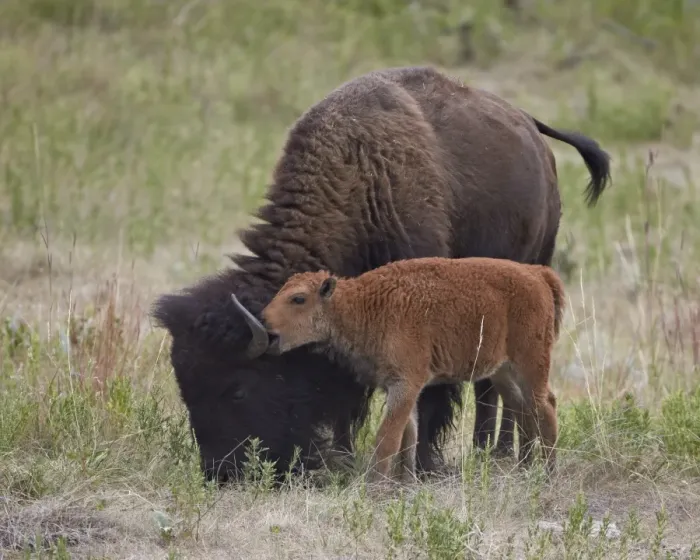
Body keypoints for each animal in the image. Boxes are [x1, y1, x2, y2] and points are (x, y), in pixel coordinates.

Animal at [151, 65, 610, 483]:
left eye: (239, 388)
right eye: (186, 389)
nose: (220, 472)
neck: (359, 175)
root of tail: (531, 127)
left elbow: (427, 397)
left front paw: (420, 465)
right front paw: (345, 457)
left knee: (494, 389)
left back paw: (495, 453)